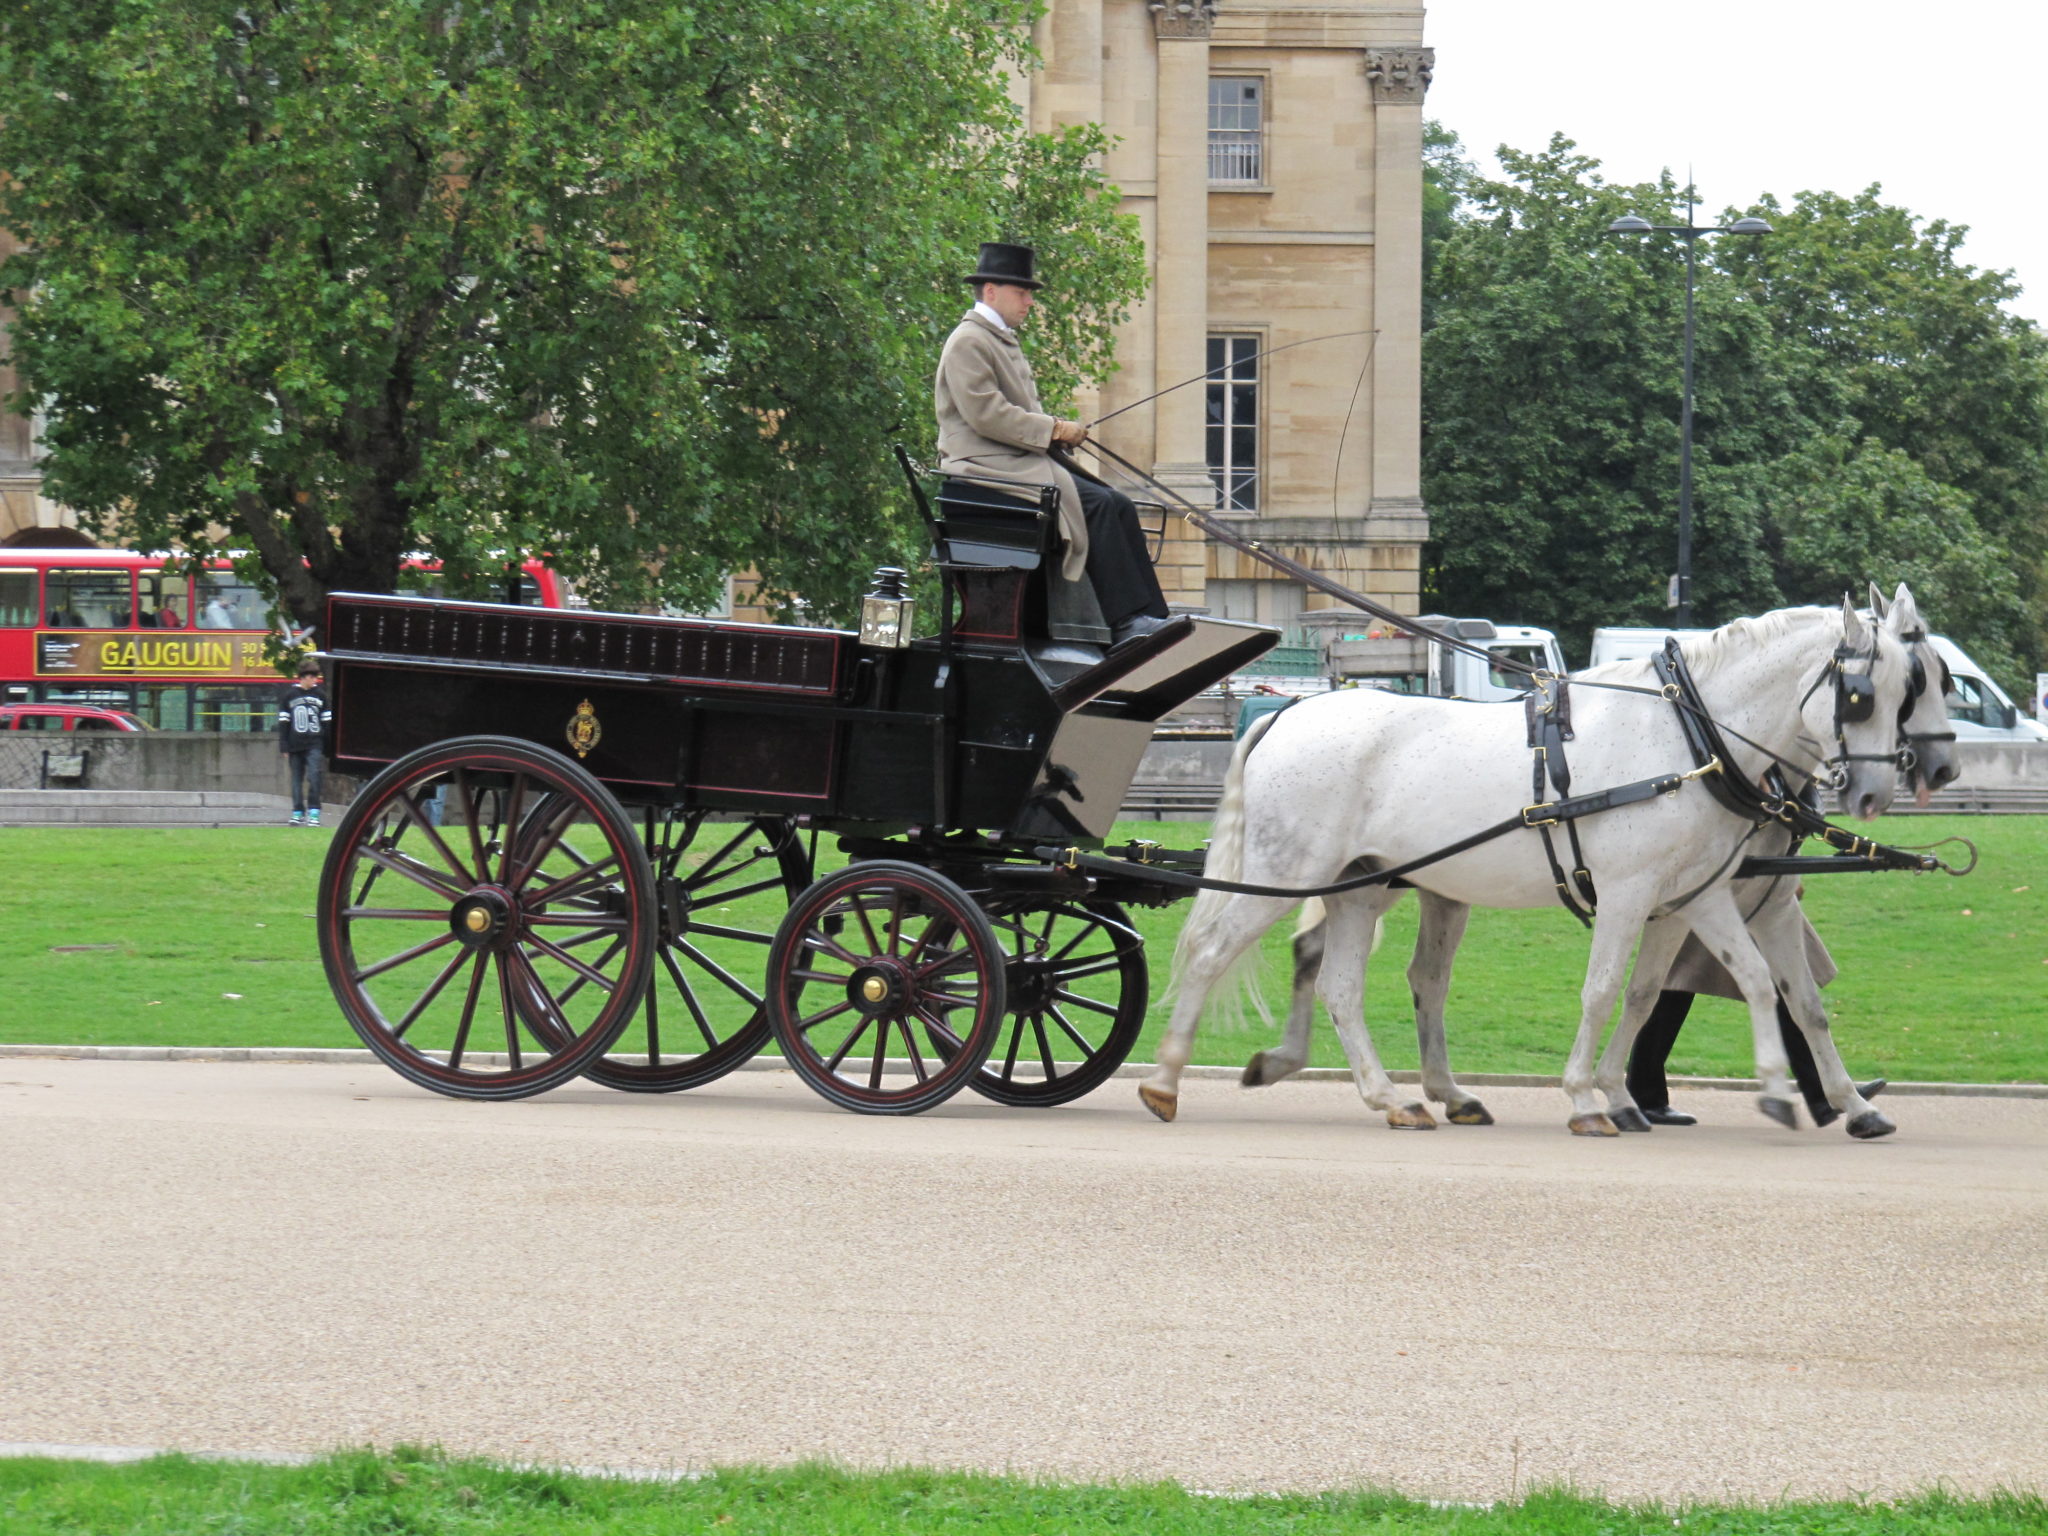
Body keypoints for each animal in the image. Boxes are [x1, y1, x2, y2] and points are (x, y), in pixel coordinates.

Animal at [1141, 598, 1912, 1137]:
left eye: (1909, 693)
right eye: (1860, 698)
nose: (1876, 792)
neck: (1686, 737)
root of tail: (1287, 713)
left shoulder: (1698, 895)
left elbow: (1760, 986)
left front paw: (1799, 1093)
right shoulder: (1633, 893)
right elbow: (1605, 991)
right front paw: (1586, 1097)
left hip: (1360, 888)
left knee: (1341, 983)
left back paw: (1391, 1095)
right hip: (1287, 875)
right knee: (1212, 951)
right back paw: (1168, 1077)